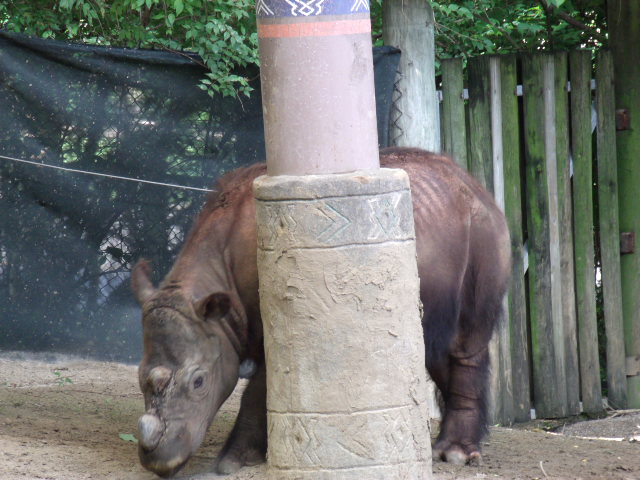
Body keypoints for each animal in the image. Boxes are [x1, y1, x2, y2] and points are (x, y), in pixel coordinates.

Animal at [131, 147, 511, 477]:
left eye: (199, 381)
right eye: (139, 376)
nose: (158, 462)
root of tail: (474, 184)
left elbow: (258, 391)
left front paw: (232, 461)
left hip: (483, 230)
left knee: (465, 339)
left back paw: (455, 454)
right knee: (433, 342)